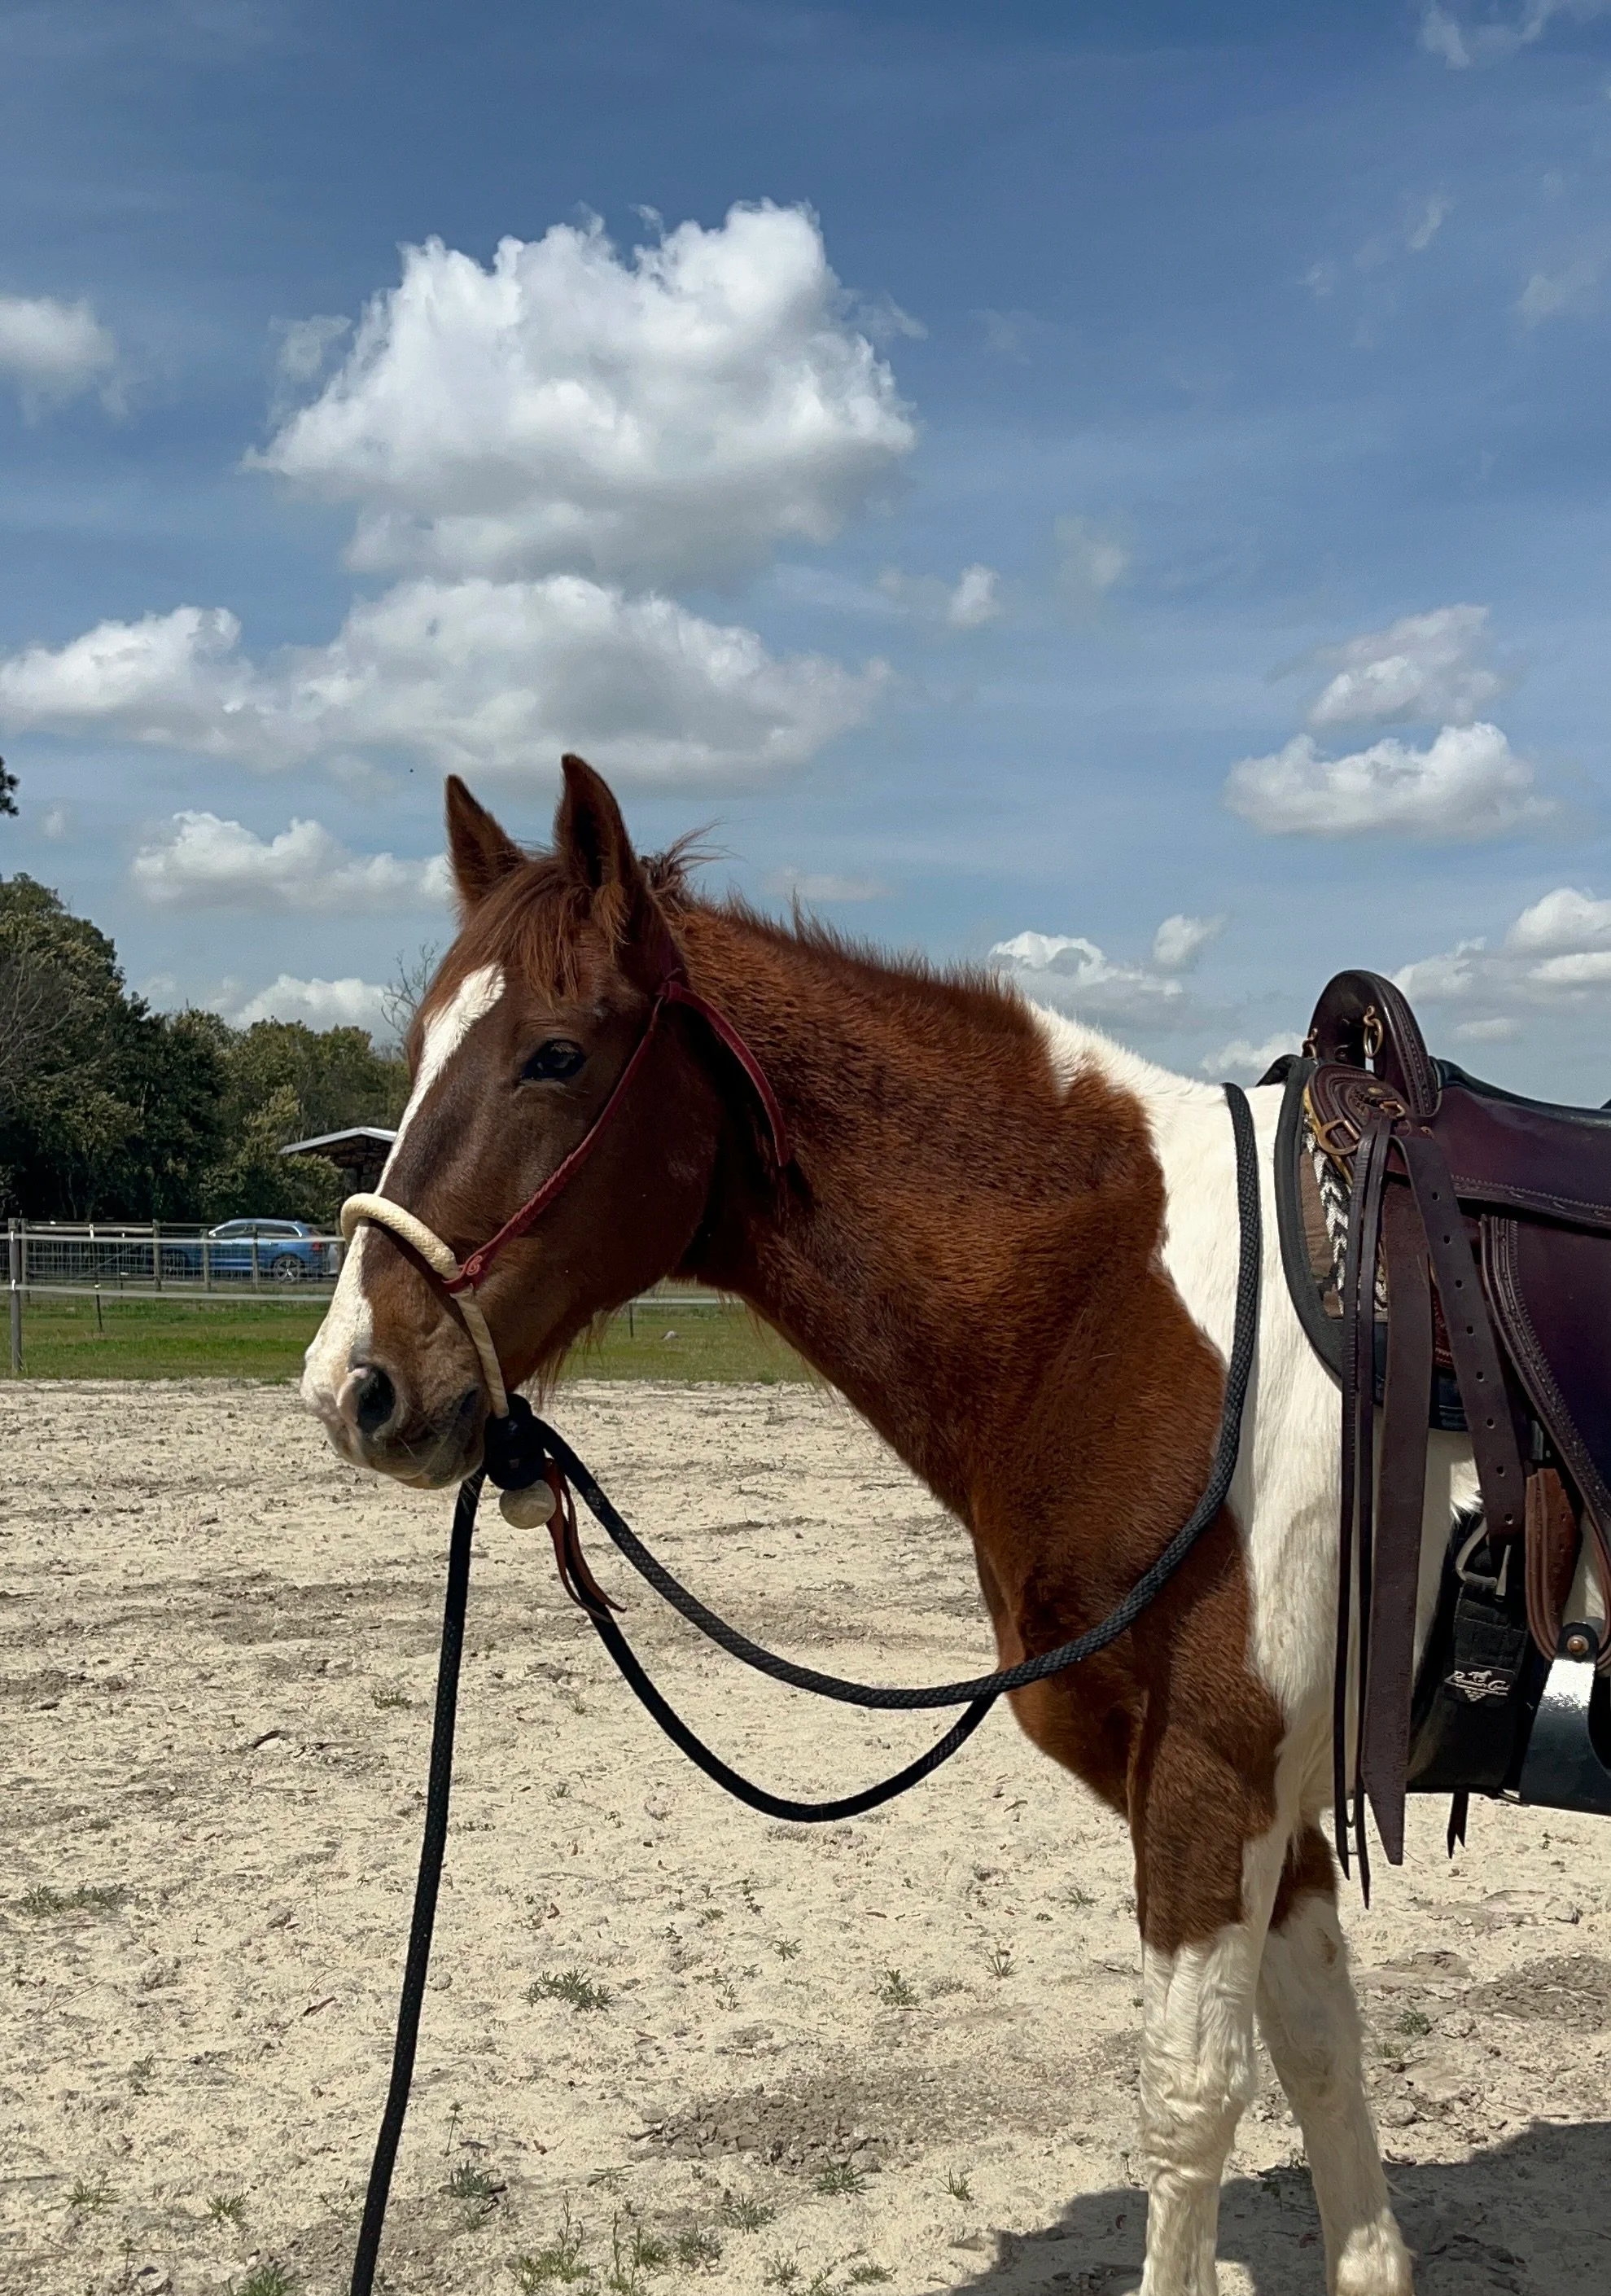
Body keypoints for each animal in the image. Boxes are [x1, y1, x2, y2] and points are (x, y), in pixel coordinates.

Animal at [304, 755, 1458, 2295]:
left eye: (552, 1056)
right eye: (419, 1048)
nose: (352, 1383)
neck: (1126, 1311)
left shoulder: (1214, 1774)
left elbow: (1190, 2098)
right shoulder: (1265, 1791)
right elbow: (1321, 2050)